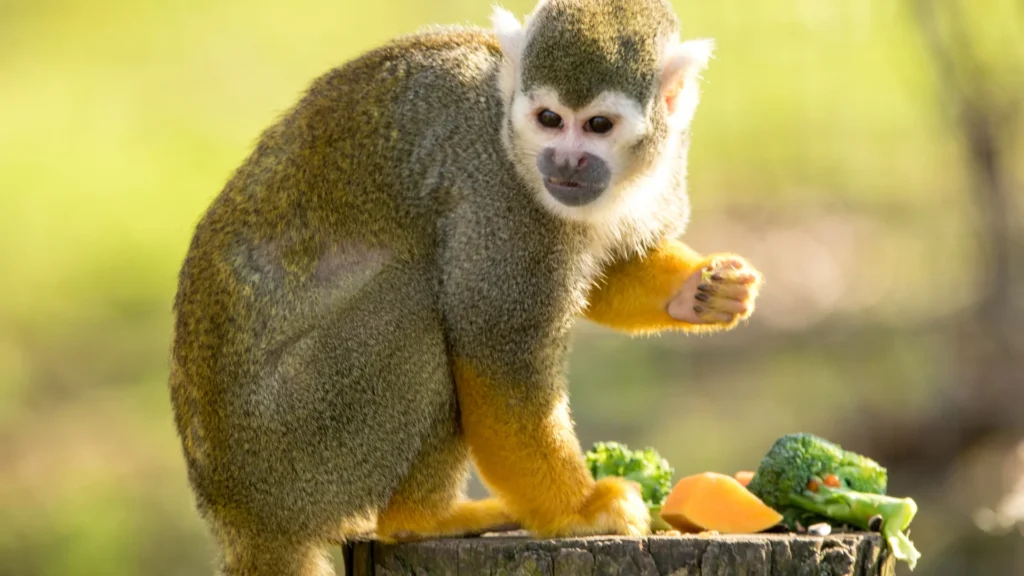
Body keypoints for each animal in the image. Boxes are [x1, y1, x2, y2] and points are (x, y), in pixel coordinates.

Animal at [168, 0, 763, 574]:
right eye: (549, 119)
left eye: (598, 125)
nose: (564, 161)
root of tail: (238, 518)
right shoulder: (499, 196)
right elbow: (496, 353)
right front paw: (578, 512)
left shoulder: (664, 161)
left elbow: (607, 272)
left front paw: (701, 291)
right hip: (296, 454)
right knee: (417, 304)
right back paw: (420, 520)